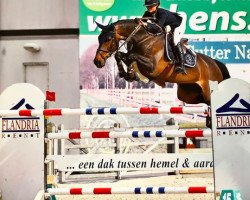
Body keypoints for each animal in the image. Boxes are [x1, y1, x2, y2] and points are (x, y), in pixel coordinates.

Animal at [93, 19, 229, 105]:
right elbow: (120, 55)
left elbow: (131, 56)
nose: (97, 61)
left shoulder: (153, 67)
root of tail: (215, 63)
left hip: (208, 92)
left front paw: (130, 74)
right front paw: (126, 74)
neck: (143, 39)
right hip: (189, 94)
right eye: (99, 38)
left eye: (109, 38)